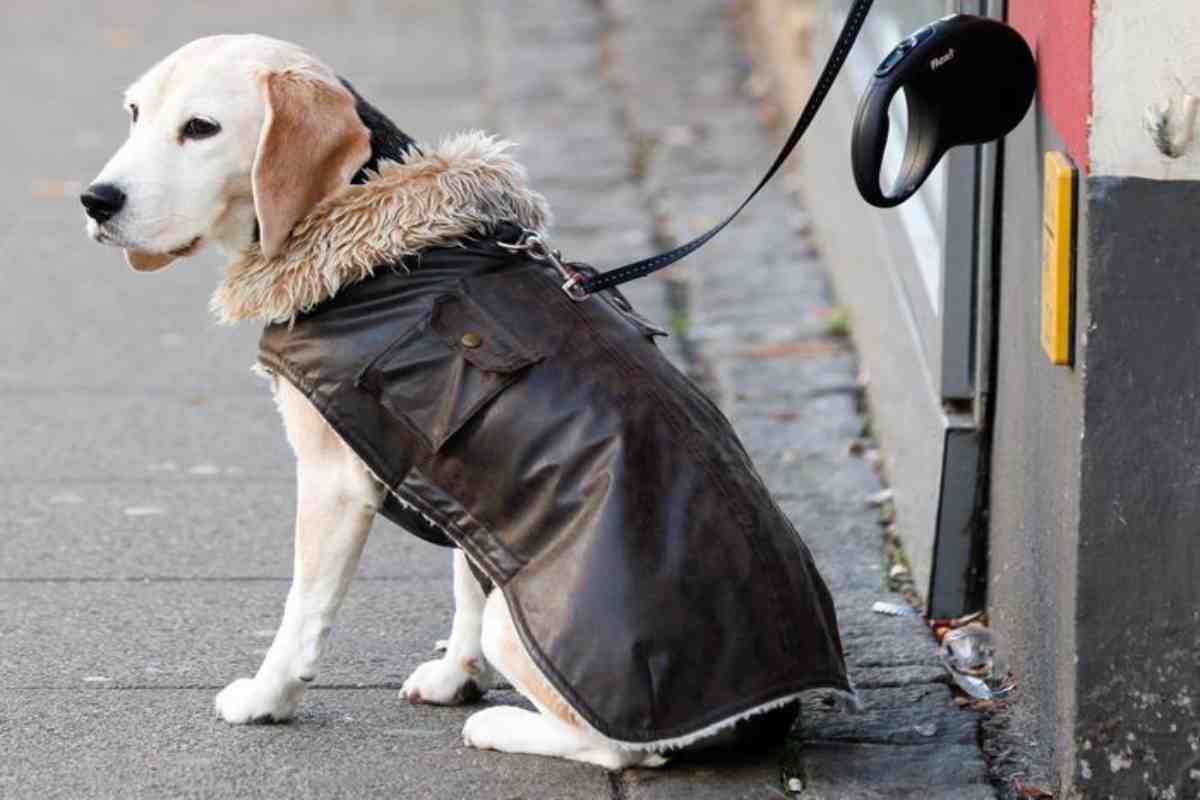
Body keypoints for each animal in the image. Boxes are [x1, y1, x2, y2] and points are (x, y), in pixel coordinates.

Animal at [82, 32, 854, 767]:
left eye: (201, 128)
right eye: (135, 112)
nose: (96, 200)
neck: (366, 221)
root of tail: (773, 706)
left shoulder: (334, 483)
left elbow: (304, 609)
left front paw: (267, 698)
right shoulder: (469, 492)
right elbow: (466, 585)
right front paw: (457, 676)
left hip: (536, 636)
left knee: (625, 749)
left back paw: (498, 725)